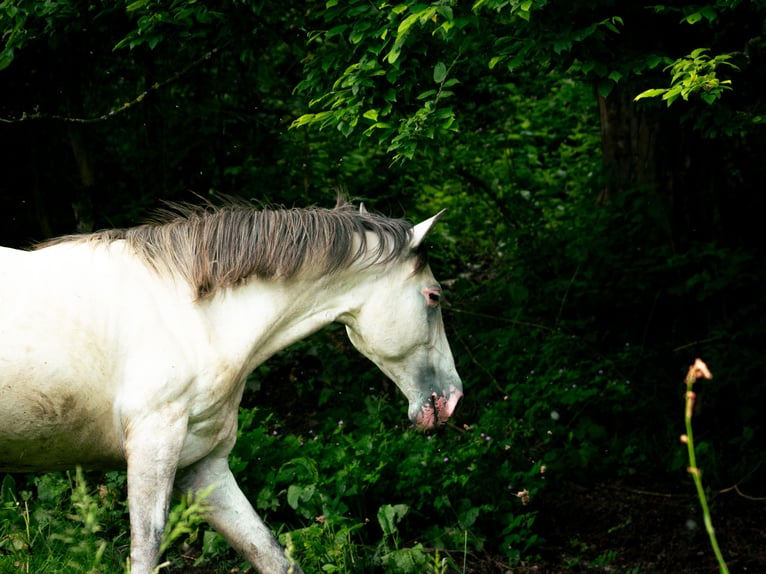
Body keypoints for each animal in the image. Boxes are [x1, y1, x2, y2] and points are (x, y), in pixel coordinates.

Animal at [0, 201, 462, 572]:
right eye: (434, 297)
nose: (451, 399)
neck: (193, 317)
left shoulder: (201, 466)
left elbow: (271, 555)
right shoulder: (153, 448)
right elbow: (146, 554)